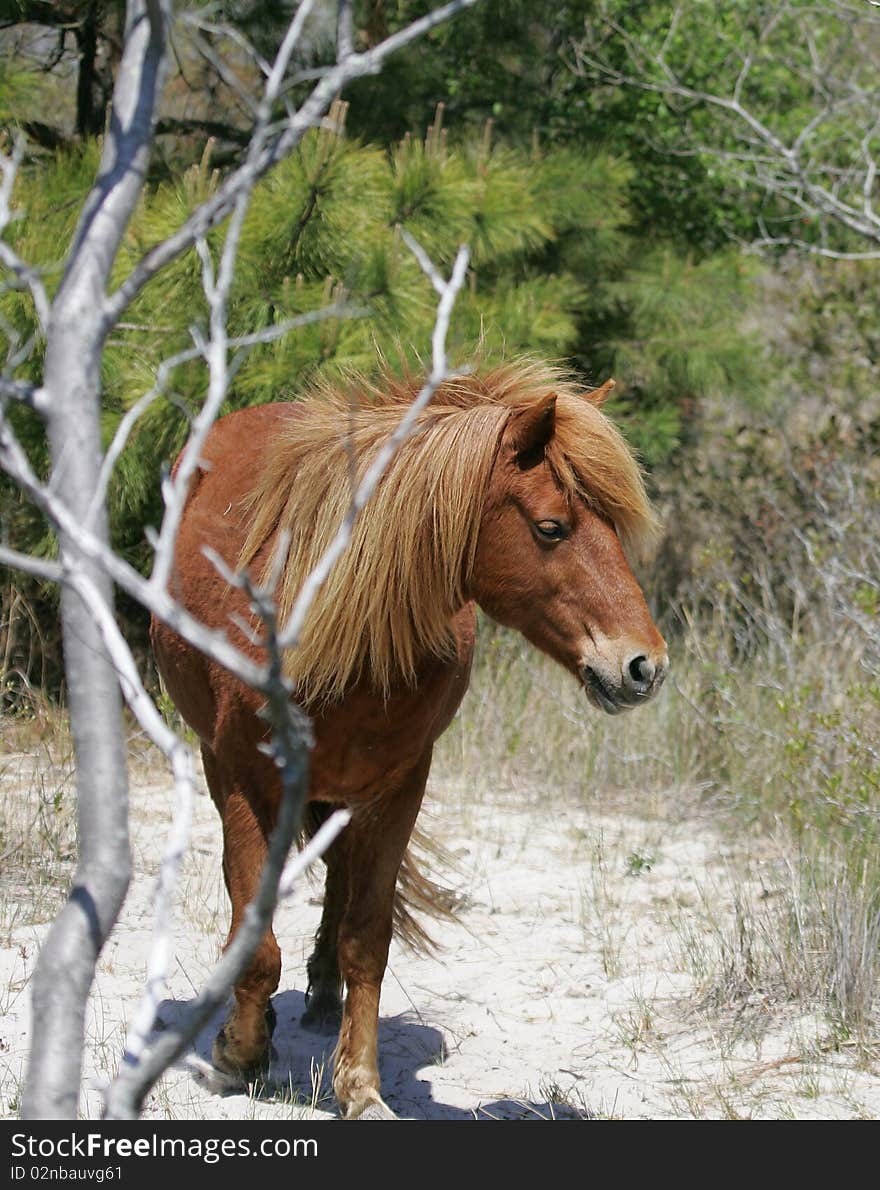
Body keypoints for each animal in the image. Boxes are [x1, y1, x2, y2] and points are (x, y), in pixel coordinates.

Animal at [153, 357, 666, 1118]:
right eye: (552, 528)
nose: (643, 666)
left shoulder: (398, 788)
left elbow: (369, 939)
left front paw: (360, 1085)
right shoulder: (240, 778)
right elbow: (255, 930)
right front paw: (238, 1052)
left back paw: (323, 992)